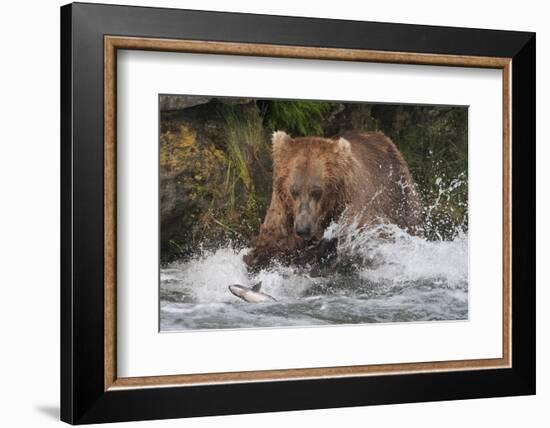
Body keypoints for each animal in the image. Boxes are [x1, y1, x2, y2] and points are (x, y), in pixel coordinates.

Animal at [246, 129, 422, 270]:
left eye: (317, 192)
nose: (303, 229)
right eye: (294, 191)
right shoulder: (283, 211)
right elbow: (269, 247)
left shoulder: (354, 207)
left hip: (400, 192)